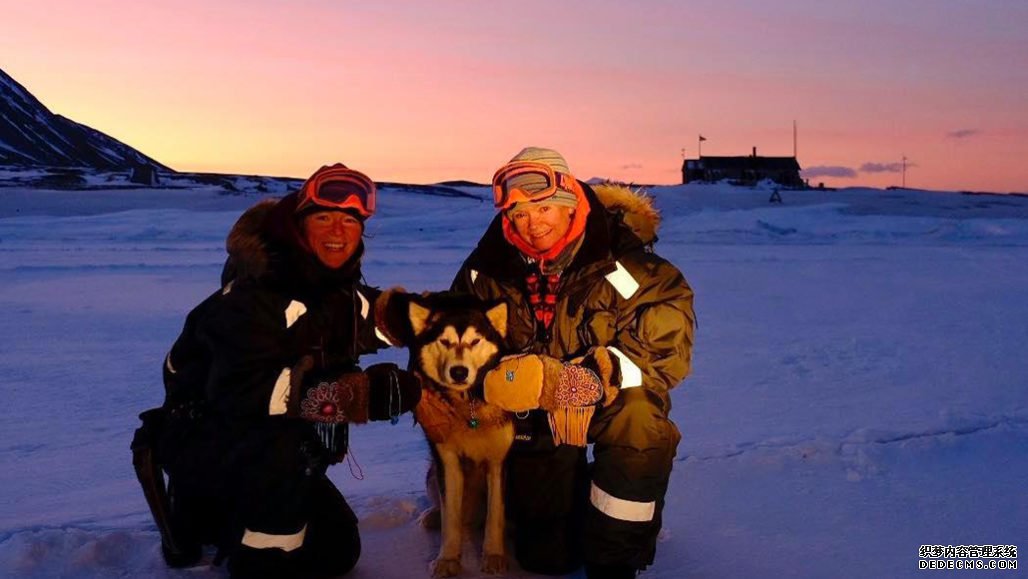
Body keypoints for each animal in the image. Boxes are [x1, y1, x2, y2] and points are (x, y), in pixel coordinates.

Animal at [396, 292, 518, 575]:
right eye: (444, 341)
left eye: (475, 340)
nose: (459, 371)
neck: (469, 408)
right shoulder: (447, 460)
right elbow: (450, 515)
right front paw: (448, 560)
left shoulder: (498, 462)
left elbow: (495, 516)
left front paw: (494, 556)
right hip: (432, 472)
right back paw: (432, 516)